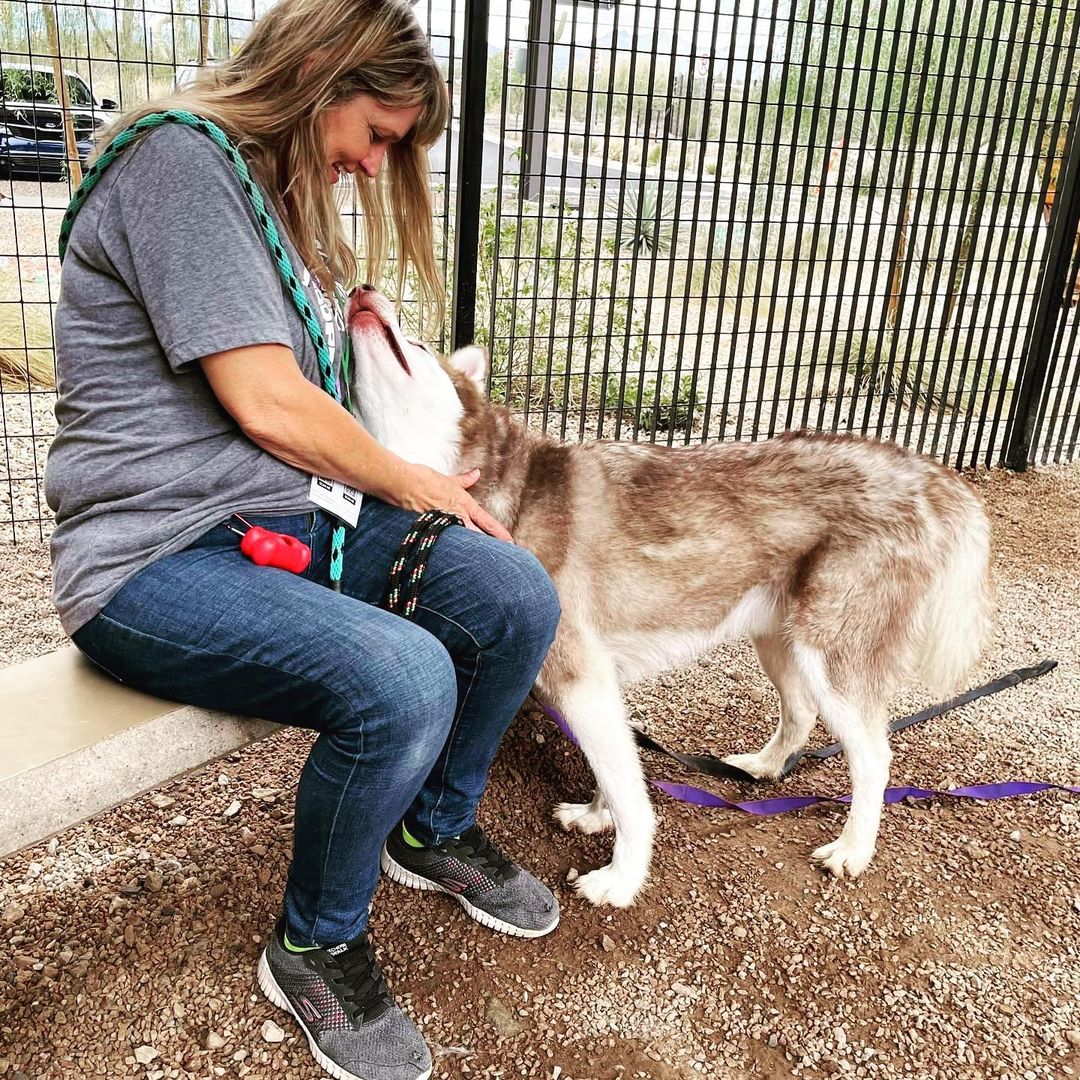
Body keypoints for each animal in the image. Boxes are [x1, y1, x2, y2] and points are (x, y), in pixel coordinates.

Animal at [345, 282, 993, 907]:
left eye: (418, 346)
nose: (361, 288)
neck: (508, 492)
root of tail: (925, 469)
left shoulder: (580, 679)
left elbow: (632, 796)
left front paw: (621, 880)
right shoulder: (599, 685)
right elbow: (619, 774)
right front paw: (596, 815)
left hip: (827, 656)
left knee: (874, 757)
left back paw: (852, 849)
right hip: (780, 642)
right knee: (801, 714)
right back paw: (763, 766)